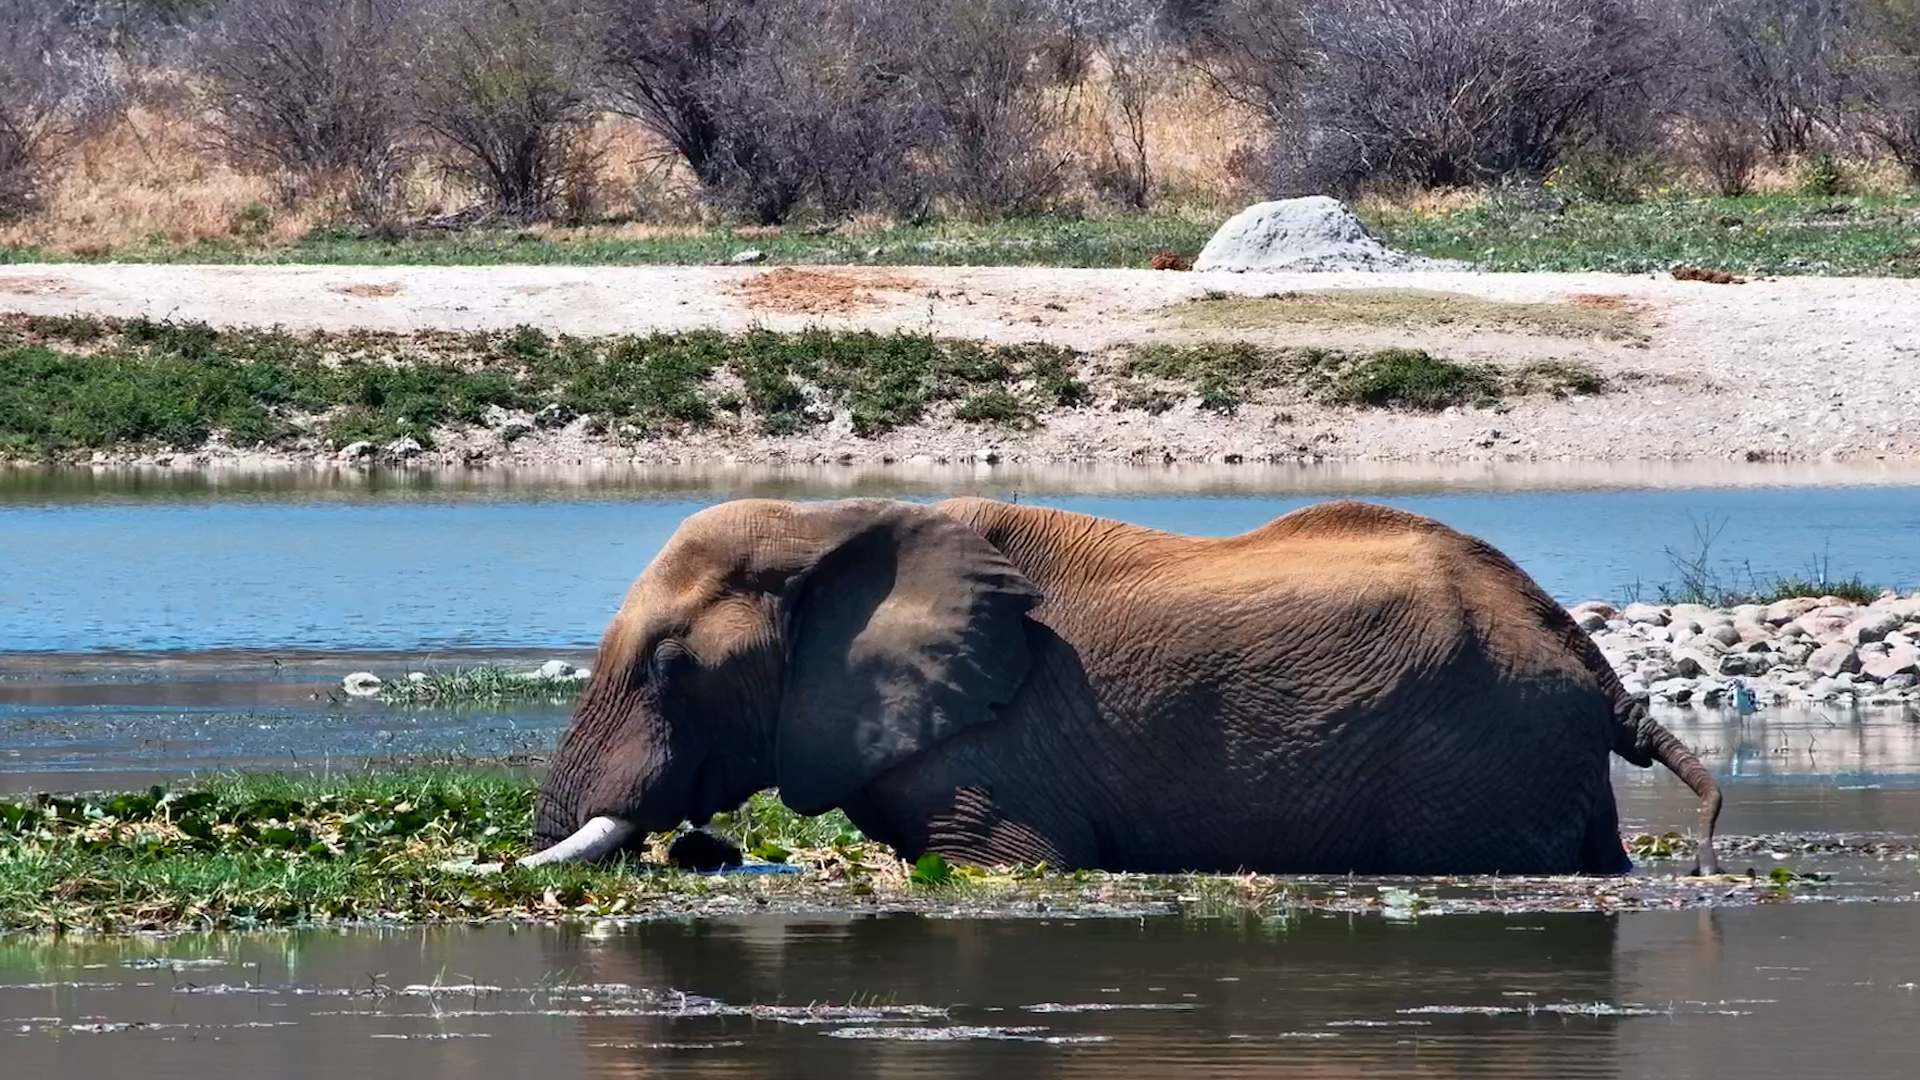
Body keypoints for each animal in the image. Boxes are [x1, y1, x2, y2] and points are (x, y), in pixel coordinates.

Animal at [527, 496, 1722, 876]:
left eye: (670, 667)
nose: (690, 839)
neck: (828, 524)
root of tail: (1594, 668)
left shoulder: (993, 765)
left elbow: (1013, 864)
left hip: (1479, 761)